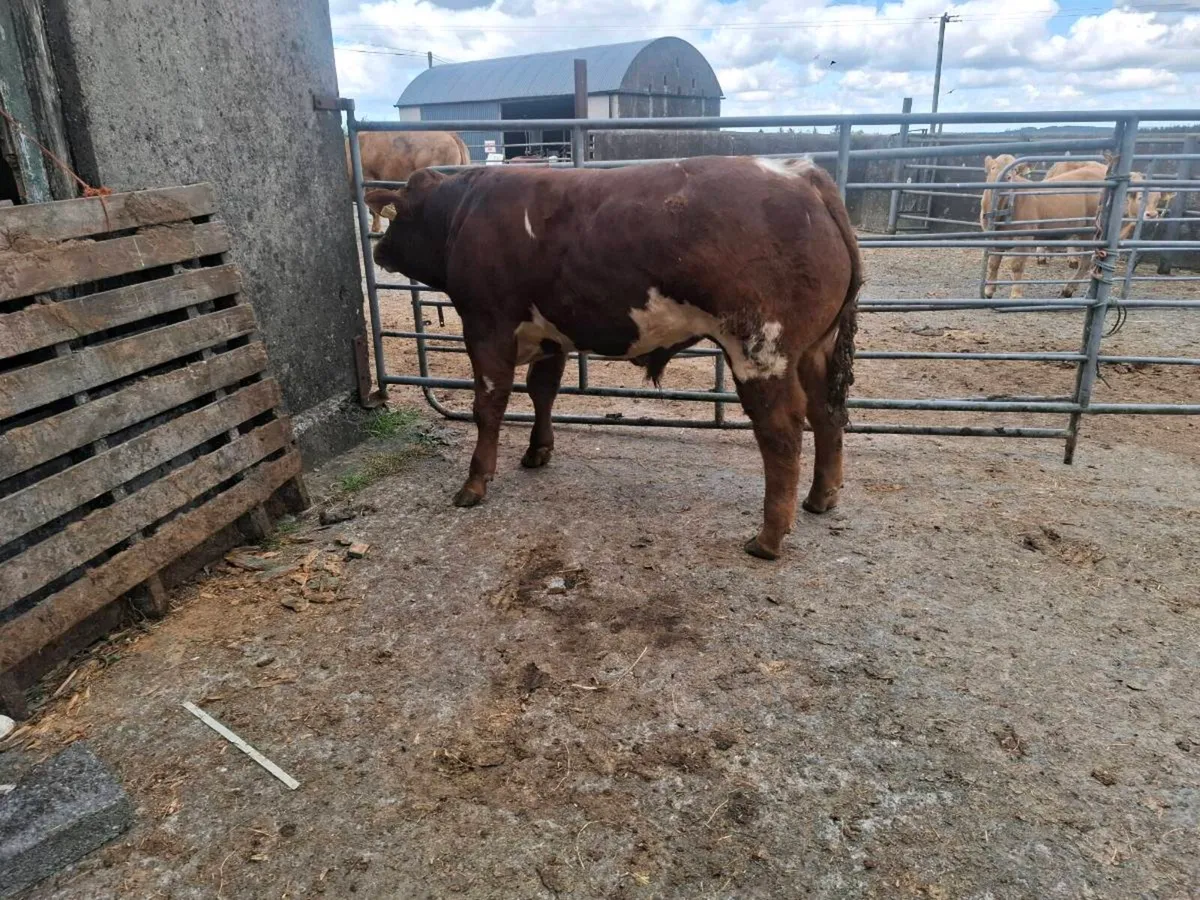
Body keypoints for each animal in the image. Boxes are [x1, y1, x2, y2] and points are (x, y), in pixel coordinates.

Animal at [366, 157, 862, 560]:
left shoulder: (486, 326)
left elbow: (489, 405)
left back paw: (769, 537)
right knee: (827, 413)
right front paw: (538, 449)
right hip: (815, 348)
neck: (462, 212)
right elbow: (542, 391)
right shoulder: (551, 334)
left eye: (398, 215)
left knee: (782, 431)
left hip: (761, 349)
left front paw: (474, 483)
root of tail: (800, 174)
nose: (377, 248)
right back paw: (822, 496)